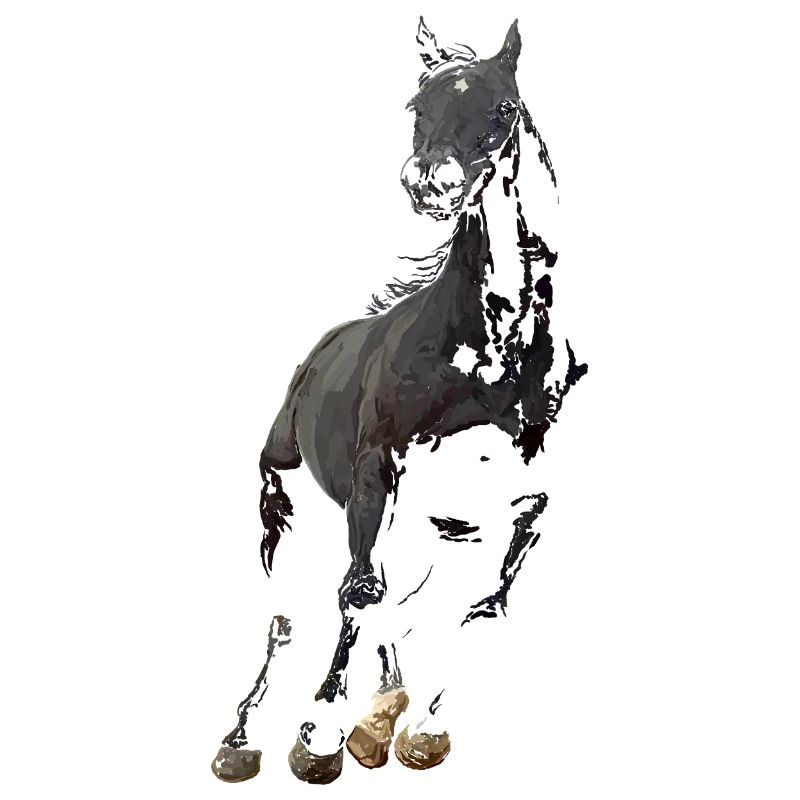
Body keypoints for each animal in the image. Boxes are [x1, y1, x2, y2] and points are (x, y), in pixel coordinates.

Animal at [211, 17, 587, 785]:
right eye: (418, 106)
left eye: (503, 109)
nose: (430, 184)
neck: (490, 370)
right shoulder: (375, 472)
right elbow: (359, 596)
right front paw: (321, 738)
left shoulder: (515, 509)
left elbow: (478, 607)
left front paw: (417, 728)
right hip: (286, 507)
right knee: (289, 616)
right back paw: (242, 741)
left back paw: (382, 712)